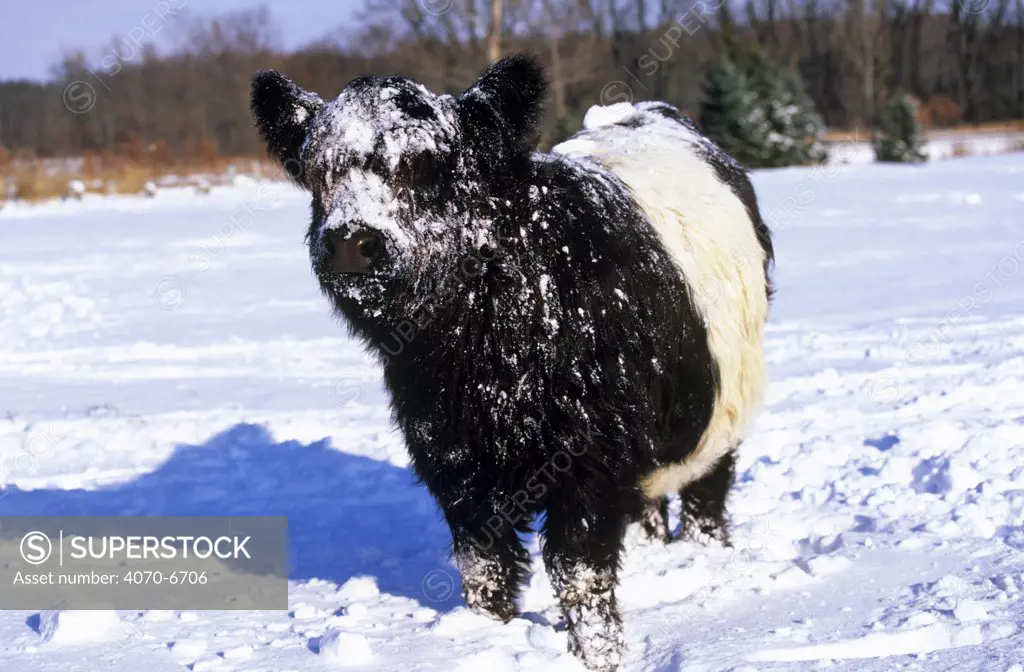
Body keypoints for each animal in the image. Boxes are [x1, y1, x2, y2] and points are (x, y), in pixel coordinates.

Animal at [251, 53, 770, 672]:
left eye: (424, 164)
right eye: (318, 172)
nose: (352, 240)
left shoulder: (590, 461)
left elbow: (579, 573)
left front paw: (601, 656)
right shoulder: (453, 461)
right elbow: (486, 571)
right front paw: (489, 637)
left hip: (722, 408)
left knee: (705, 495)